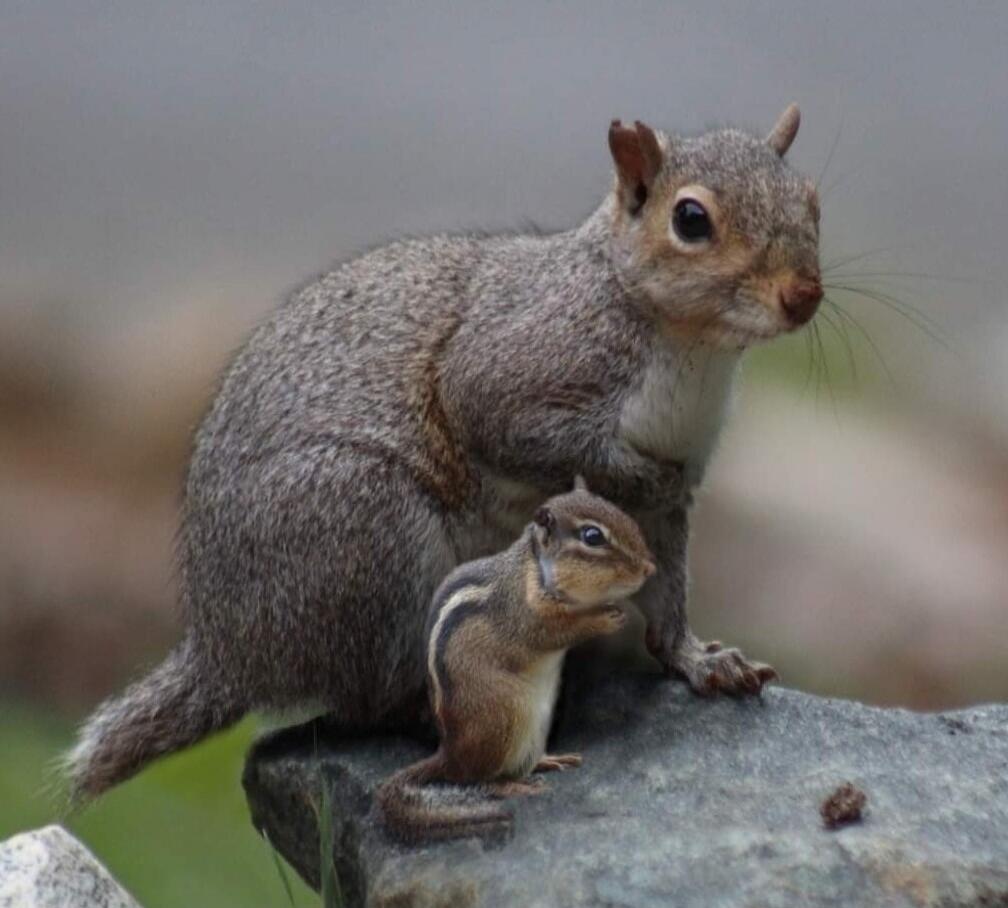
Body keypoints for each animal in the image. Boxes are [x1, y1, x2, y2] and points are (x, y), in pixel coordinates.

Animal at [67, 103, 817, 801]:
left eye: (811, 198)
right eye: (690, 219)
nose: (804, 295)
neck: (688, 348)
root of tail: (229, 652)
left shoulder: (668, 501)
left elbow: (665, 595)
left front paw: (701, 661)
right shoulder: (511, 372)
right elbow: (514, 429)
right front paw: (637, 474)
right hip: (365, 533)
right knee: (368, 703)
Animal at [377, 478, 656, 843]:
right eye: (592, 536)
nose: (649, 567)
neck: (536, 566)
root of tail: (448, 752)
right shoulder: (527, 614)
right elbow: (555, 632)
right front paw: (607, 620)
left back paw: (548, 761)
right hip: (505, 715)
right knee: (478, 779)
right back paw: (514, 786)